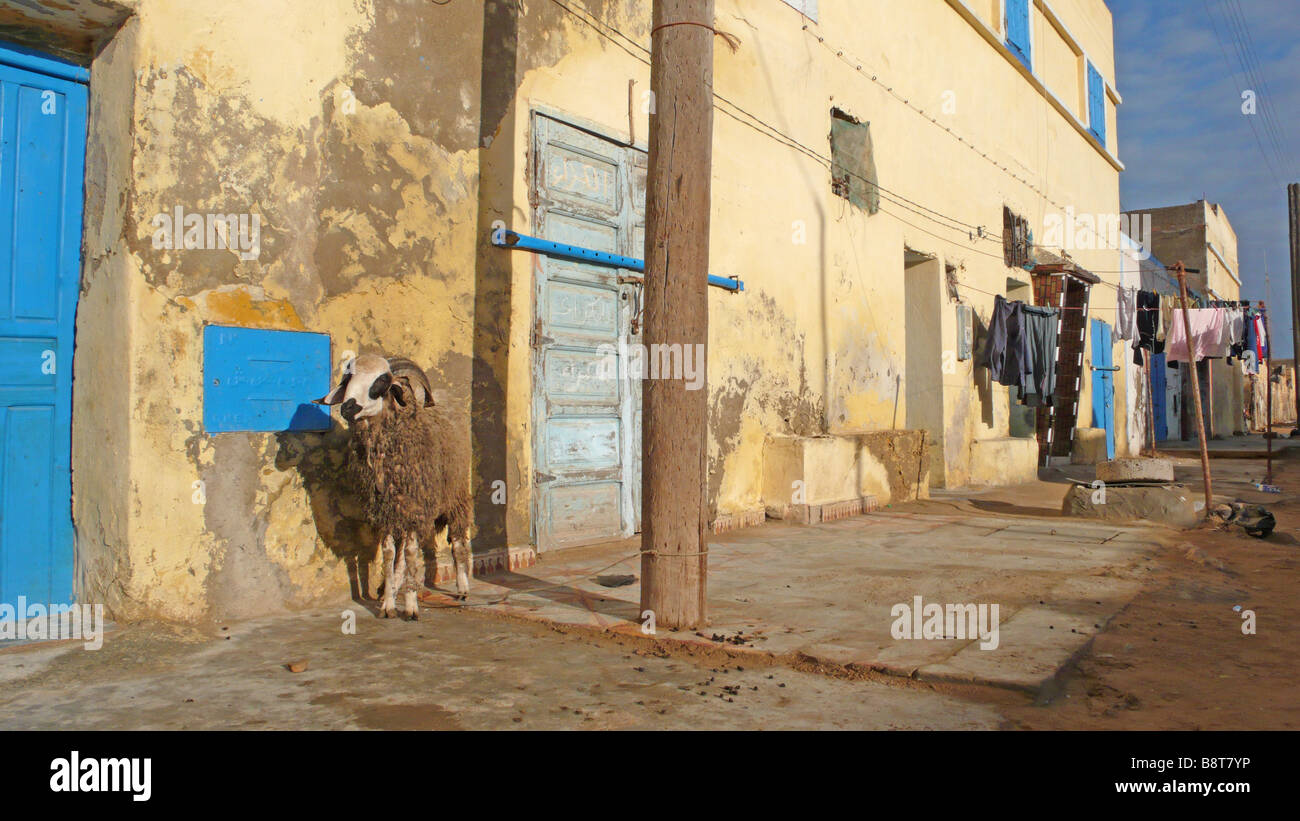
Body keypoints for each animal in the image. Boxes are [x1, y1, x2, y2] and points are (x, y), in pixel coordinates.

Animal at [315, 350, 473, 615]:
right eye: (348, 379)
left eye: (381, 381)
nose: (348, 407)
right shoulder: (384, 512)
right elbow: (389, 555)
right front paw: (388, 603)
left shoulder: (414, 507)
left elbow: (409, 554)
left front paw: (410, 607)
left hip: (456, 495)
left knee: (458, 542)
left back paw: (462, 587)